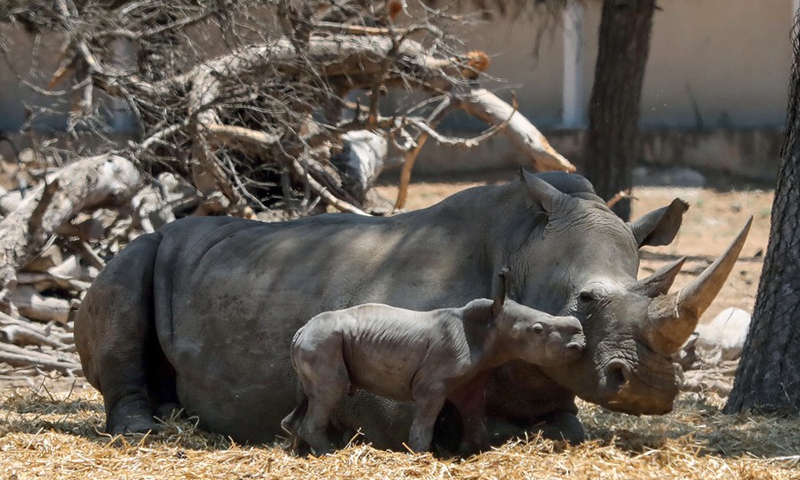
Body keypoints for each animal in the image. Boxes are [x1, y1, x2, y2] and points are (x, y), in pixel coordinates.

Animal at [283, 269, 585, 455]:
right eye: (537, 330)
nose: (580, 343)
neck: (488, 326)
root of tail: (300, 331)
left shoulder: (471, 383)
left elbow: (474, 418)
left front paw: (474, 453)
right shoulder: (432, 384)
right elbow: (424, 424)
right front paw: (420, 455)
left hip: (318, 342)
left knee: (310, 396)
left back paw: (302, 454)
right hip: (323, 341)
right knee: (330, 391)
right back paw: (329, 454)